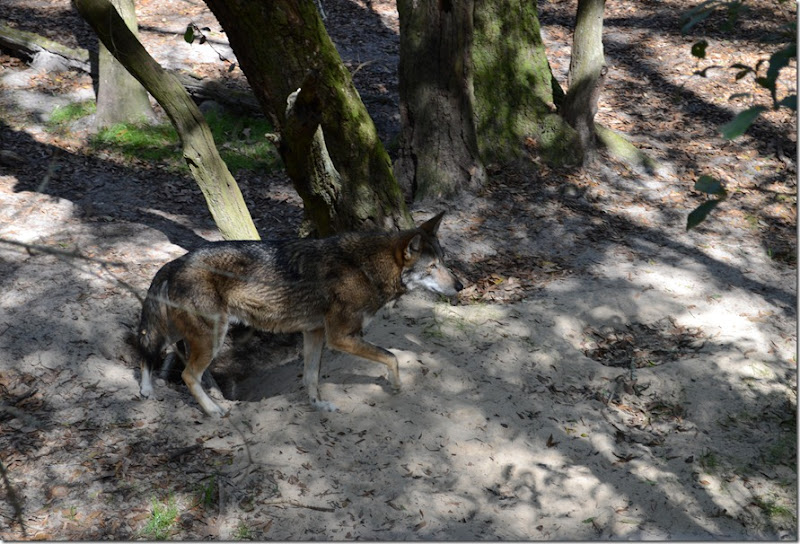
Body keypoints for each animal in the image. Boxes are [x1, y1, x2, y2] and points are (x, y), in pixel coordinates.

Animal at [136, 212, 463, 417]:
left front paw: (319, 406)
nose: (460, 285)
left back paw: (147, 390)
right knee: (188, 374)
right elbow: (392, 356)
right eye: (432, 267)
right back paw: (214, 410)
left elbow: (310, 377)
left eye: (444, 262)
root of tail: (176, 262)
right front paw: (395, 385)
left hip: (184, 332)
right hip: (211, 338)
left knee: (152, 349)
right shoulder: (340, 337)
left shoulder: (314, 333)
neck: (365, 269)